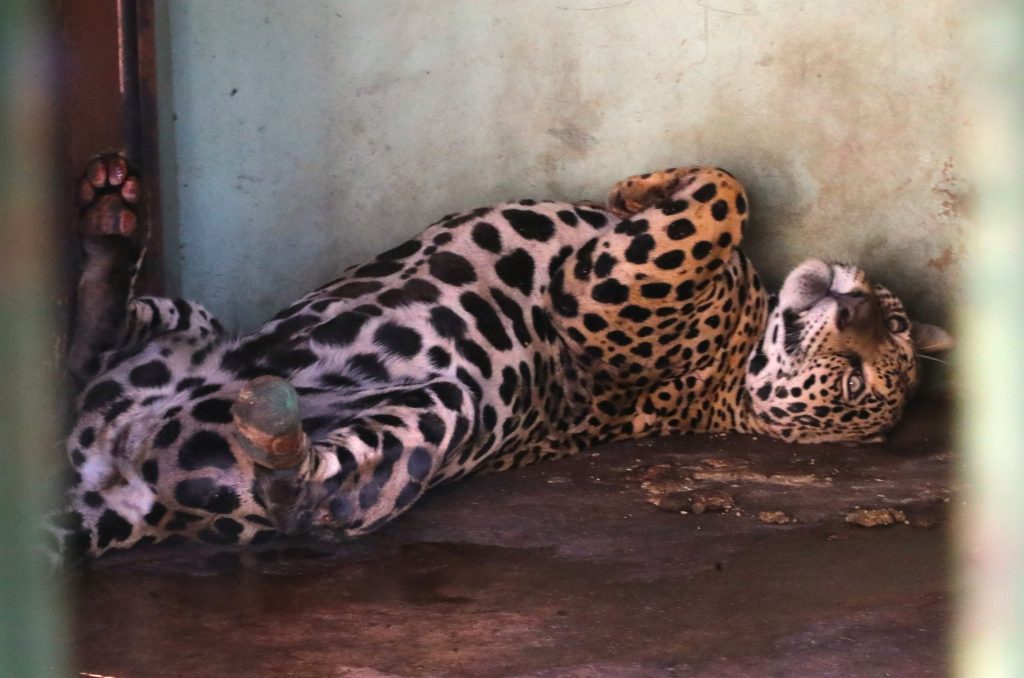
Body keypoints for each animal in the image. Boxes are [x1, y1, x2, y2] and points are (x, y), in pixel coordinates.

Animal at [51, 156, 954, 565]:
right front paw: (641, 185)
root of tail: (120, 491)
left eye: (859, 380)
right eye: (892, 325)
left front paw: (658, 190)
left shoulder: (596, 292)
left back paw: (274, 433)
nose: (855, 308)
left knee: (314, 501)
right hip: (193, 326)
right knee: (89, 351)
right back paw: (106, 236)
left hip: (424, 420)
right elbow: (715, 186)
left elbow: (729, 196)